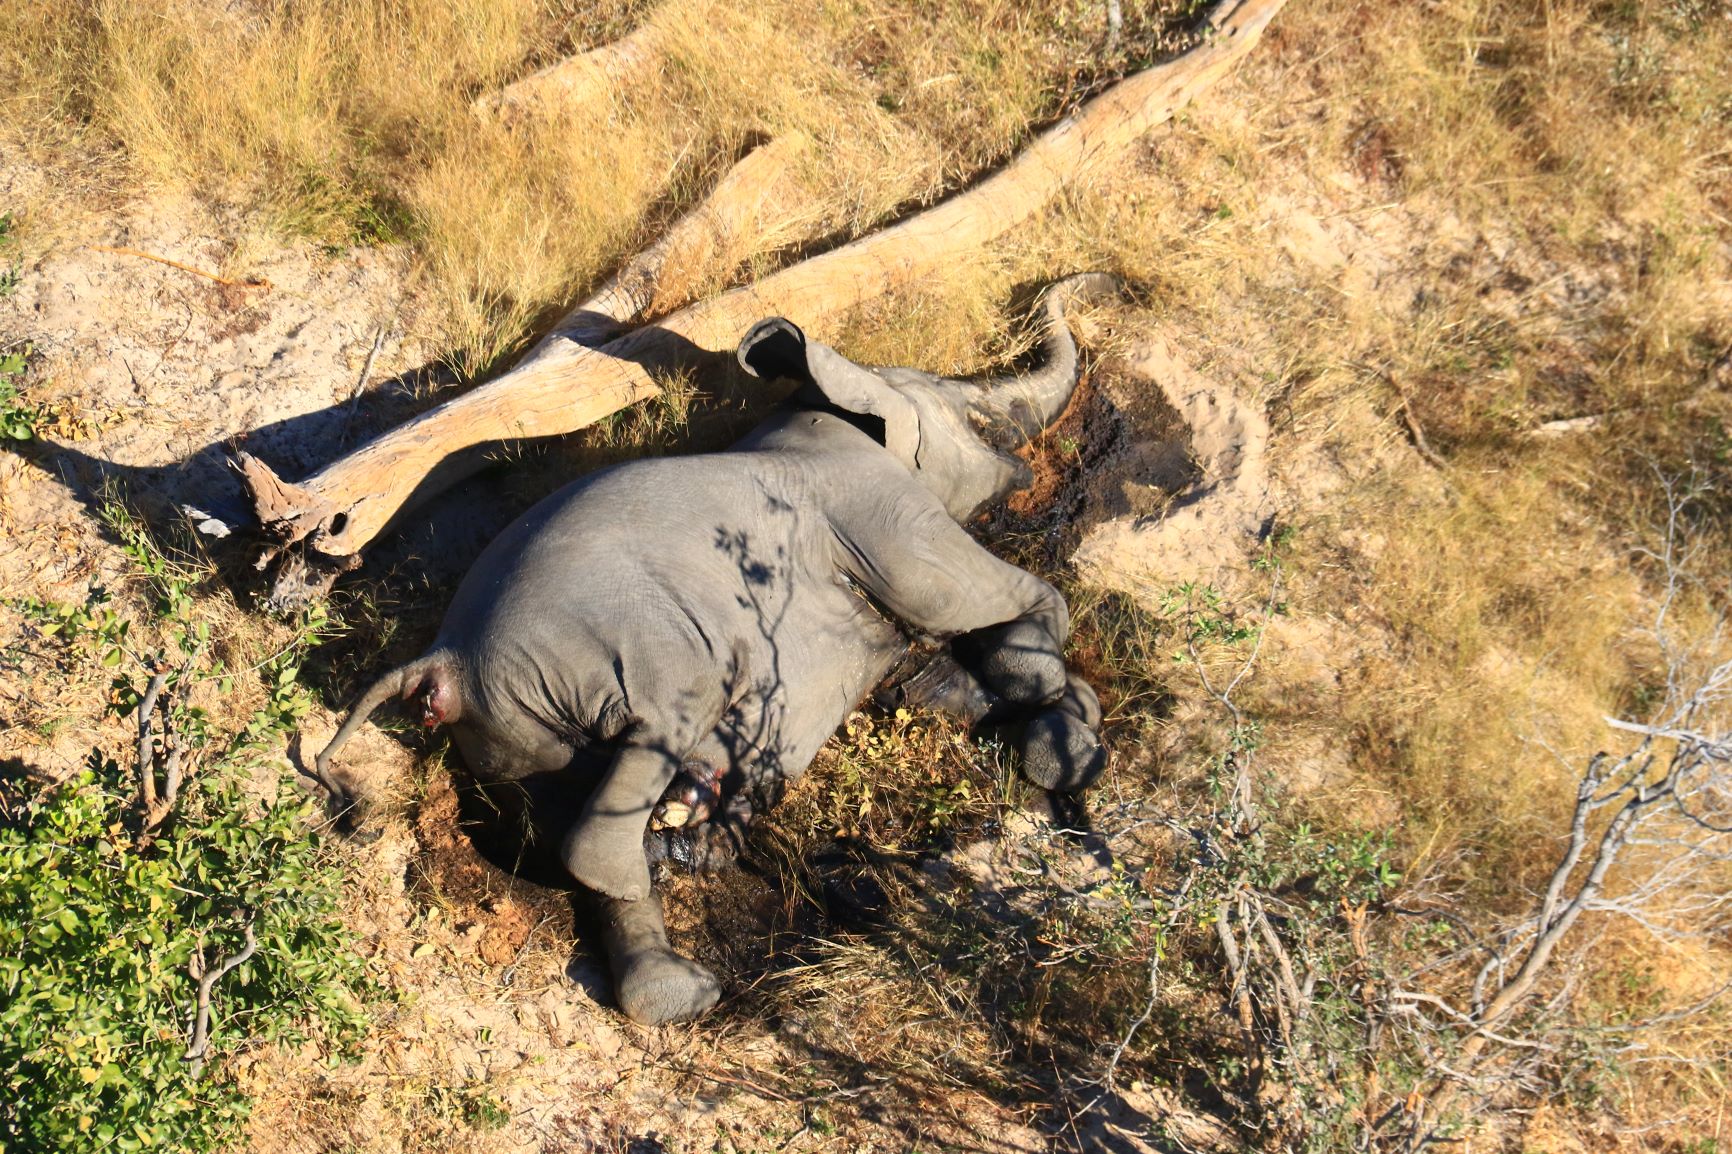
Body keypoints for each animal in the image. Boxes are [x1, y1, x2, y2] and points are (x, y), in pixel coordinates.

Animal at [314, 273, 1116, 1025]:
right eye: (977, 416)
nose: (1091, 286)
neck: (829, 404)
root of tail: (441, 660)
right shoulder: (882, 511)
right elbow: (988, 600)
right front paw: (1062, 733)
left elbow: (928, 677)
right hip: (607, 653)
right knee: (651, 744)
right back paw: (673, 882)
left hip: (515, 738)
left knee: (570, 803)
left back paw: (678, 969)